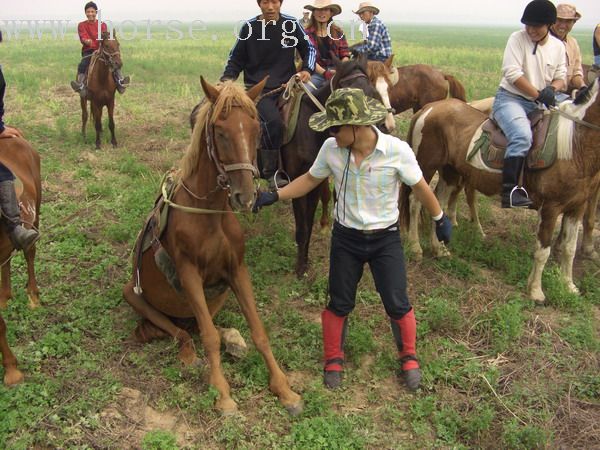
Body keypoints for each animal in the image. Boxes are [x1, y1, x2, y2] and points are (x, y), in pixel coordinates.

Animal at [122, 77, 302, 414]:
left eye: (256, 129)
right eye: (220, 132)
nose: (245, 197)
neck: (208, 214)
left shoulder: (237, 271)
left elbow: (258, 331)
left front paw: (284, 389)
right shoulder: (189, 275)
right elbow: (207, 337)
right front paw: (222, 392)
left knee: (202, 327)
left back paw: (233, 340)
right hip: (133, 294)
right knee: (184, 333)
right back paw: (190, 355)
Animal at [400, 77, 600, 304]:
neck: (574, 145)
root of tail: (428, 109)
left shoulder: (577, 207)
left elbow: (569, 248)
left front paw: (568, 286)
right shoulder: (550, 208)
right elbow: (543, 251)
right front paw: (536, 291)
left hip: (450, 173)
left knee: (438, 204)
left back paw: (439, 249)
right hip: (425, 166)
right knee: (415, 202)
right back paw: (415, 247)